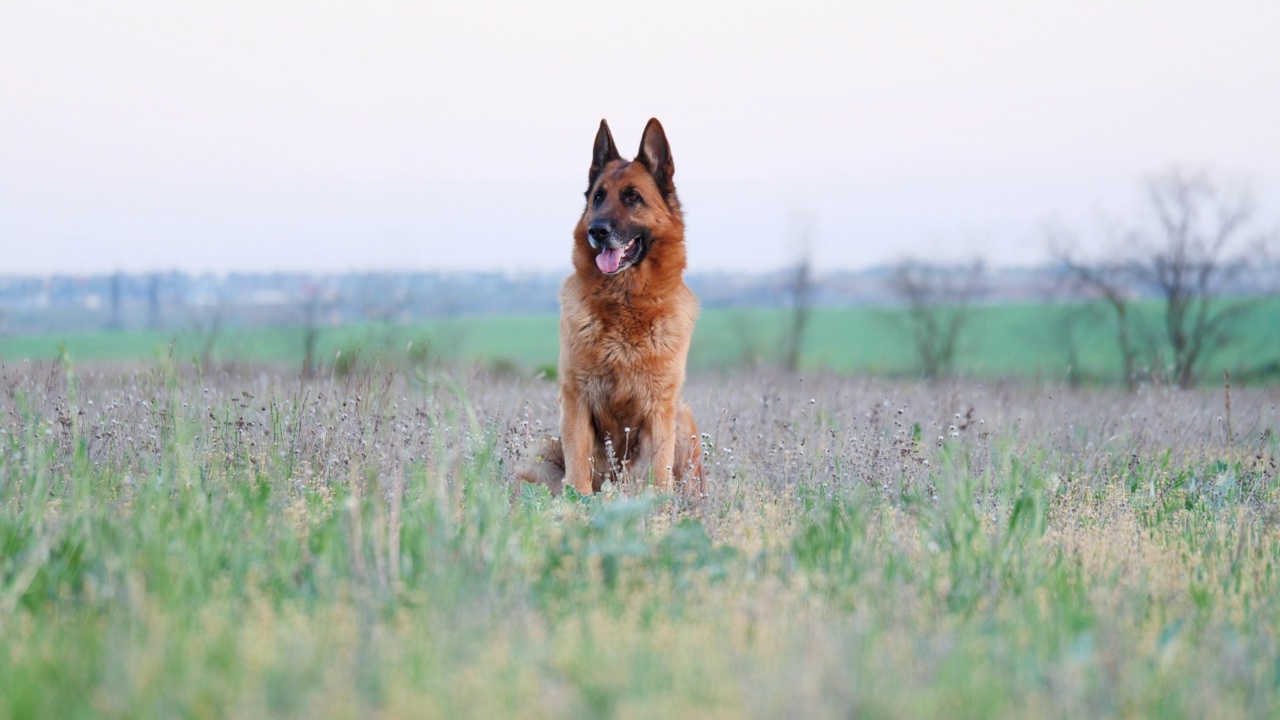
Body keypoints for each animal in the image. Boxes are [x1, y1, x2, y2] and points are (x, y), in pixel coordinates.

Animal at [517, 120, 701, 497]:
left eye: (632, 197)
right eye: (598, 197)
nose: (596, 231)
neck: (625, 303)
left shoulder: (660, 410)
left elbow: (659, 477)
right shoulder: (576, 401)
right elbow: (577, 476)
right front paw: (577, 506)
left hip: (683, 420)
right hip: (537, 452)